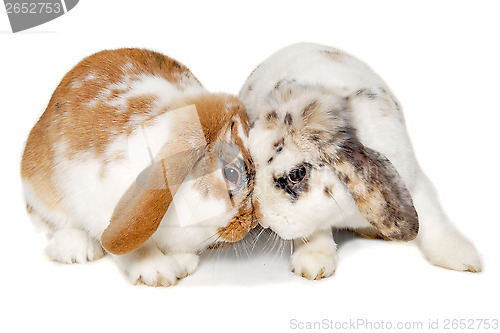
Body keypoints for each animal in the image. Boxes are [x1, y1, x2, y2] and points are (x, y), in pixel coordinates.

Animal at [21, 47, 260, 286]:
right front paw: (158, 271)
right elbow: (137, 249)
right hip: (40, 192)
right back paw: (77, 250)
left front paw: (182, 262)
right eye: (231, 174)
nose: (252, 223)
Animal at [240, 42, 482, 278]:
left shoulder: (414, 181)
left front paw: (463, 257)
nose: (260, 216)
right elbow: (315, 230)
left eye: (296, 174)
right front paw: (314, 262)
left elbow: (433, 218)